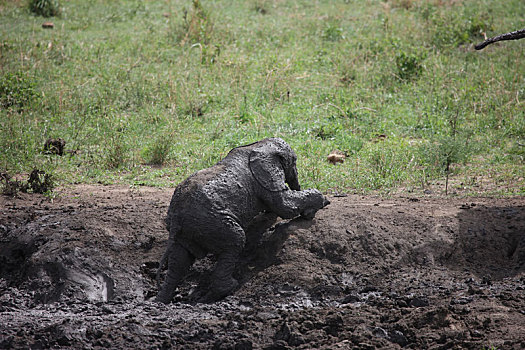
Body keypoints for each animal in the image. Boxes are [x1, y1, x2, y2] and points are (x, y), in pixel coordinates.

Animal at [155, 138, 328, 302]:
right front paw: (322, 201)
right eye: (294, 161)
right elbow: (285, 205)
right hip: (212, 222)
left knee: (180, 260)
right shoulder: (265, 178)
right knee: (235, 241)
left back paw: (161, 300)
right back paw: (229, 287)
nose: (297, 185)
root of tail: (177, 217)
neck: (259, 145)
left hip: (188, 229)